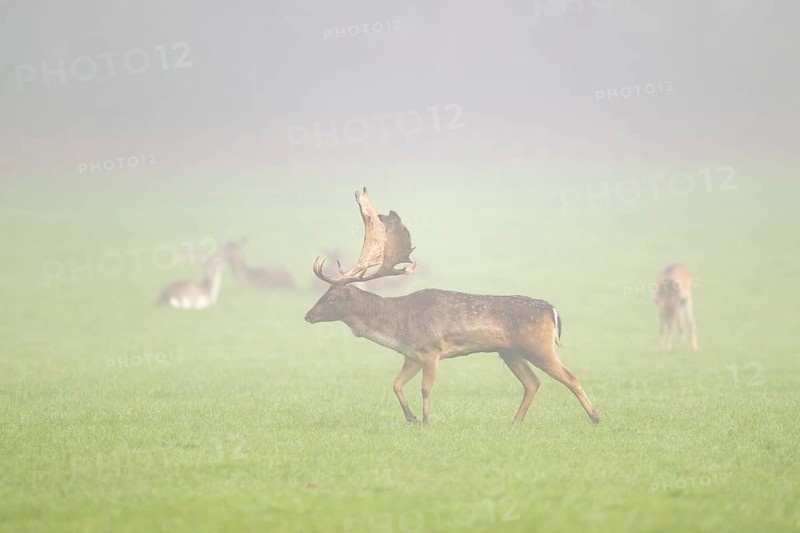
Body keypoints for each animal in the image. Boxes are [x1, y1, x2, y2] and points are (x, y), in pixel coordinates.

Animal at [304, 188, 599, 425]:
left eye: (332, 297)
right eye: (325, 293)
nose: (308, 315)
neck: (396, 327)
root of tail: (552, 311)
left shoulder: (431, 350)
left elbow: (425, 388)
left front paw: (426, 419)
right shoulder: (411, 355)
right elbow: (396, 384)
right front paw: (411, 418)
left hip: (538, 346)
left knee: (570, 376)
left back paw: (595, 417)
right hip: (510, 352)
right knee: (532, 382)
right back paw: (515, 422)